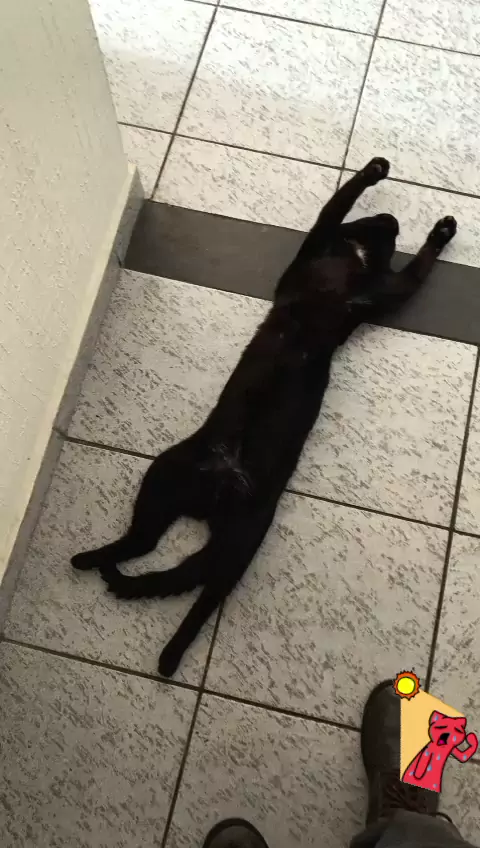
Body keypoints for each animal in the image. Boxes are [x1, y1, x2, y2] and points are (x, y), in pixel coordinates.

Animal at [71, 157, 456, 677]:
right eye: (380, 226)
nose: (390, 218)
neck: (352, 264)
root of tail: (213, 492)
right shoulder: (331, 259)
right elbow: (337, 207)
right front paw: (377, 173)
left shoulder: (378, 290)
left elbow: (367, 233)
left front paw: (435, 225)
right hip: (166, 482)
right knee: (149, 548)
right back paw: (93, 563)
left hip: (235, 536)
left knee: (193, 586)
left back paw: (158, 644)